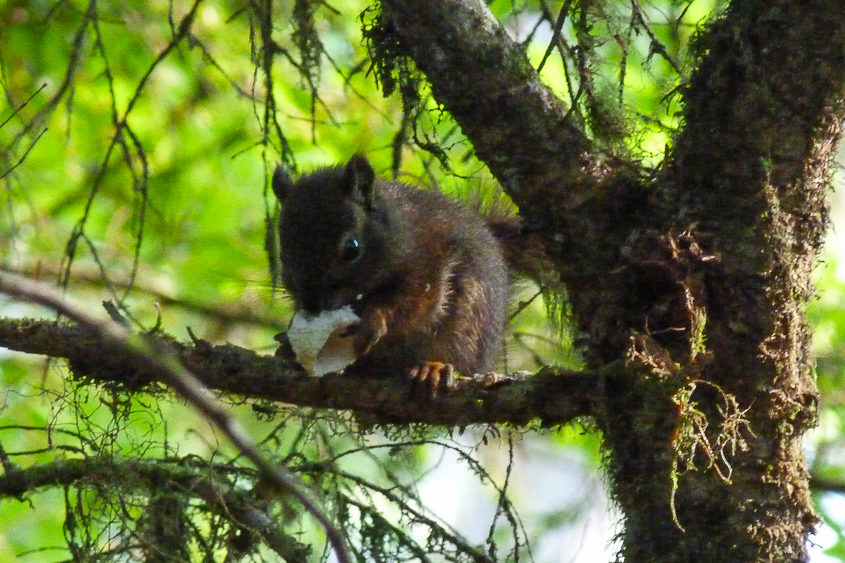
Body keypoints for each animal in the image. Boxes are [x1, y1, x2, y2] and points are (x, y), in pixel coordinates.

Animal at [274, 152, 524, 394]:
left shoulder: (427, 268)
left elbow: (409, 303)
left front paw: (373, 320)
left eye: (352, 248)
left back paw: (434, 368)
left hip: (470, 325)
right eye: (283, 256)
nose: (313, 307)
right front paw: (289, 345)